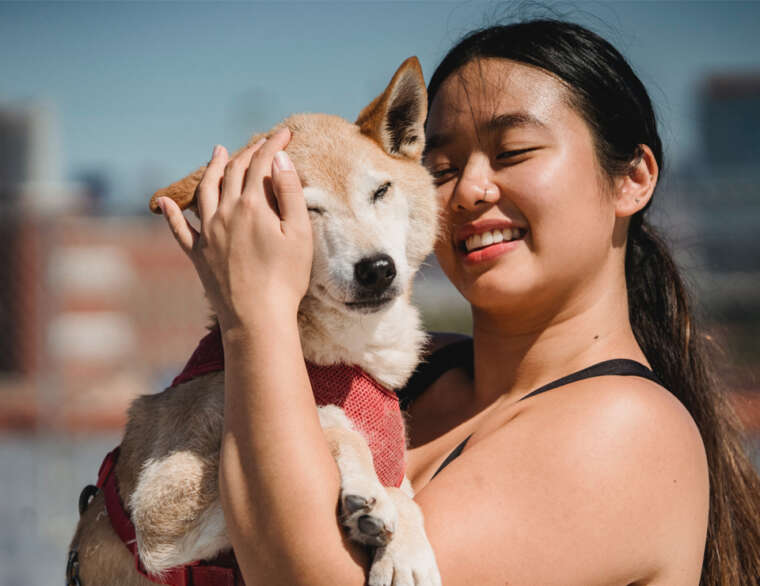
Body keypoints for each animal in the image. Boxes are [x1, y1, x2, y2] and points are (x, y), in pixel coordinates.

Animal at [70, 56, 446, 584]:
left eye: (381, 190)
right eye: (306, 209)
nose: (376, 269)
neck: (344, 358)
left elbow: (408, 492)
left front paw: (405, 551)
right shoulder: (156, 513)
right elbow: (329, 418)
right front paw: (370, 494)